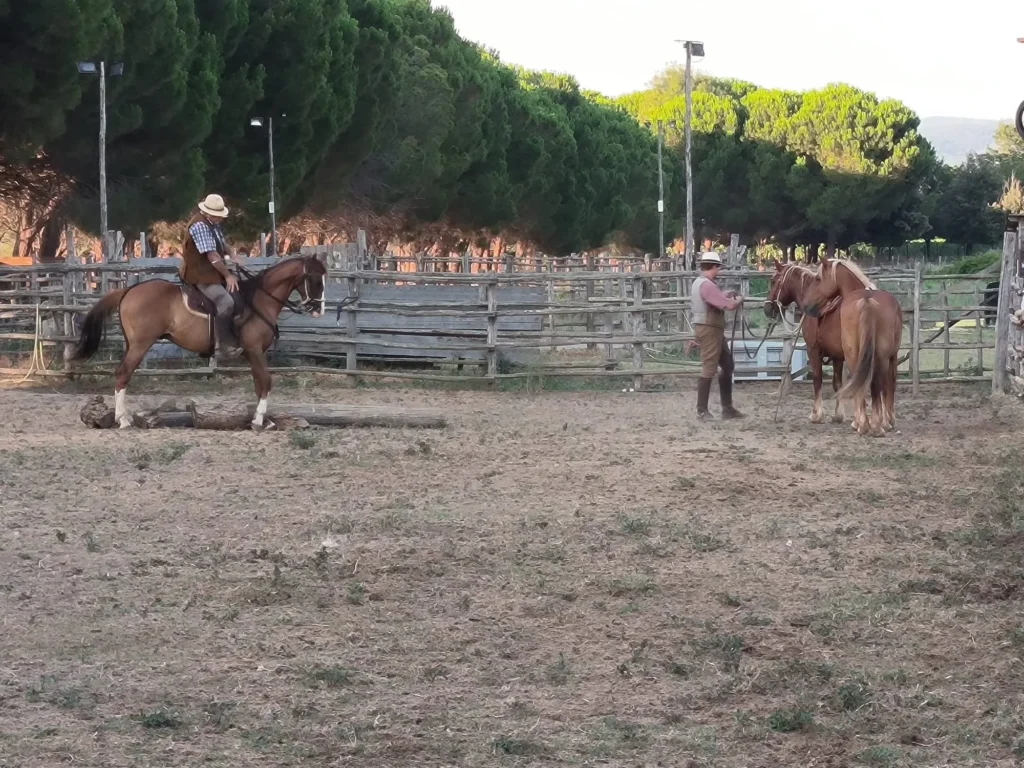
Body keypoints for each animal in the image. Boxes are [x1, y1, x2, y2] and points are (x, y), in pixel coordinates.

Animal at [68, 254, 327, 430]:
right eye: (315, 279)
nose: (319, 310)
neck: (259, 300)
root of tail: (128, 291)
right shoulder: (254, 350)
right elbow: (266, 381)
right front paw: (259, 421)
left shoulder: (254, 354)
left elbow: (258, 384)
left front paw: (263, 419)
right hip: (140, 345)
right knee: (123, 374)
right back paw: (123, 420)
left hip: (133, 344)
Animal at [763, 261, 846, 424]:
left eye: (774, 281)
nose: (767, 308)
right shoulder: (837, 356)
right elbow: (837, 383)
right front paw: (838, 415)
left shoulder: (812, 350)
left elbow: (818, 379)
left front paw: (816, 414)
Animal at [802, 257, 903, 437]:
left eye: (818, 279)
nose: (806, 305)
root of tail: (867, 300)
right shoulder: (891, 357)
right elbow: (888, 385)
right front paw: (886, 421)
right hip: (870, 356)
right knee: (873, 384)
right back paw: (872, 426)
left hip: (856, 355)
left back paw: (867, 425)